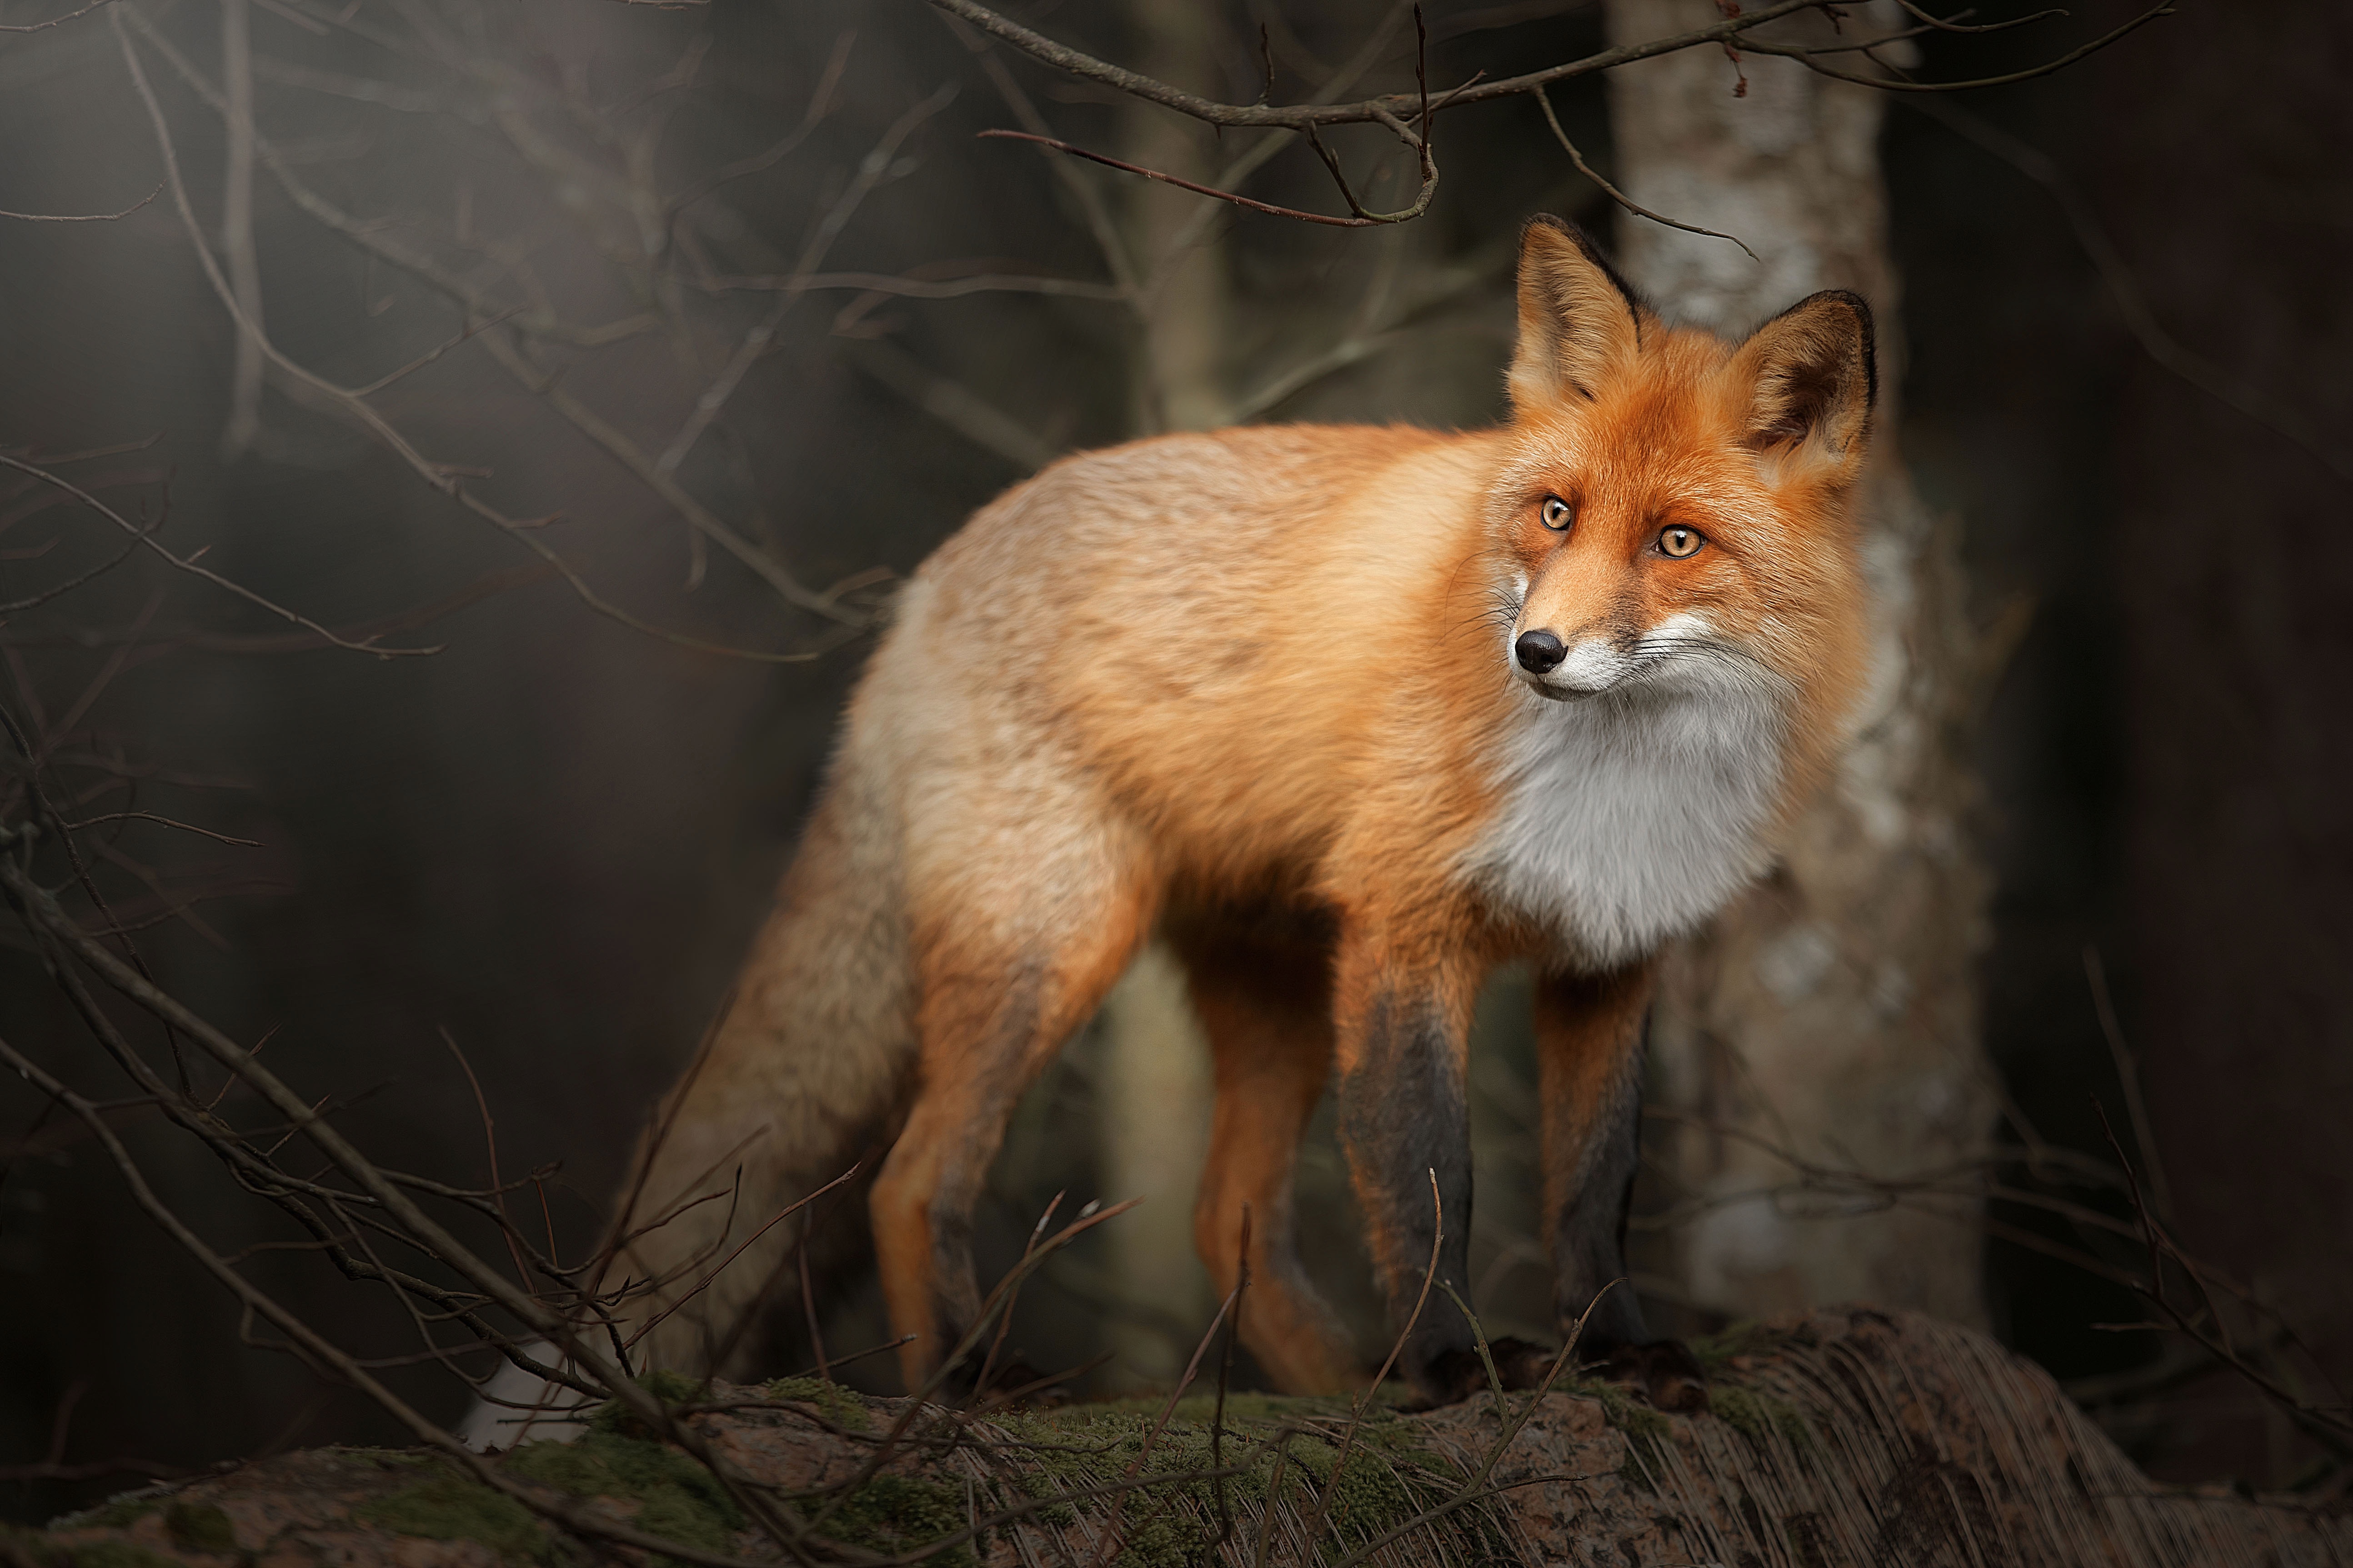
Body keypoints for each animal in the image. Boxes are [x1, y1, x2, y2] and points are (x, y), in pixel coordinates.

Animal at [597, 217, 1863, 1410]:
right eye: (1555, 514)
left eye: (1675, 541)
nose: (1536, 650)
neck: (1620, 780)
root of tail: (929, 577)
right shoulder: (1404, 929)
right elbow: (1427, 1181)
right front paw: (1451, 1364)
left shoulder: (1609, 952)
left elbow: (1592, 1191)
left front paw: (1612, 1350)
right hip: (1053, 944)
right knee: (910, 1181)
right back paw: (968, 1382)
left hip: (1278, 994)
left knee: (1223, 1215)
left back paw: (1344, 1383)